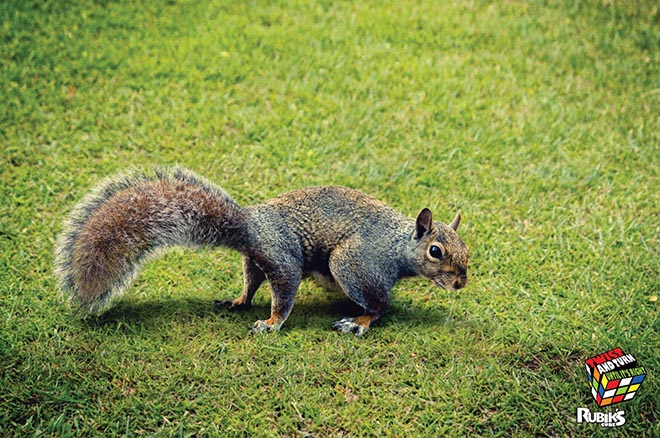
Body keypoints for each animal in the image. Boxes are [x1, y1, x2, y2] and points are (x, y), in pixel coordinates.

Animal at [56, 167, 470, 336]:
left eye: (465, 250)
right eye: (436, 251)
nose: (461, 284)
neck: (398, 247)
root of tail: (250, 224)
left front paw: (270, 324)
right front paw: (271, 322)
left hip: (336, 264)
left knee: (378, 306)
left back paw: (357, 322)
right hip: (308, 260)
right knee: (255, 284)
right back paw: (239, 302)